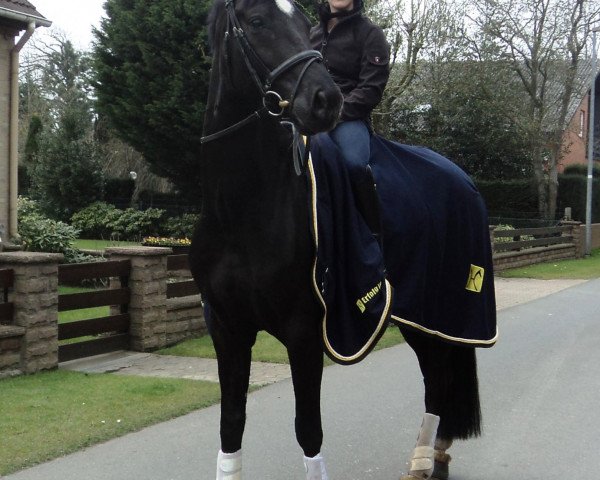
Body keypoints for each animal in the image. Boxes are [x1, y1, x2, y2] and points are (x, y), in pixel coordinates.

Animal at [190, 1, 486, 478]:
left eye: (301, 23)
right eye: (257, 21)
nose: (326, 100)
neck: (244, 212)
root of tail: (463, 178)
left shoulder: (304, 333)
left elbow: (308, 431)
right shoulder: (227, 328)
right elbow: (230, 425)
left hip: (437, 312)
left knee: (438, 378)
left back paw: (424, 461)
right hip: (419, 316)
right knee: (438, 376)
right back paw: (435, 458)